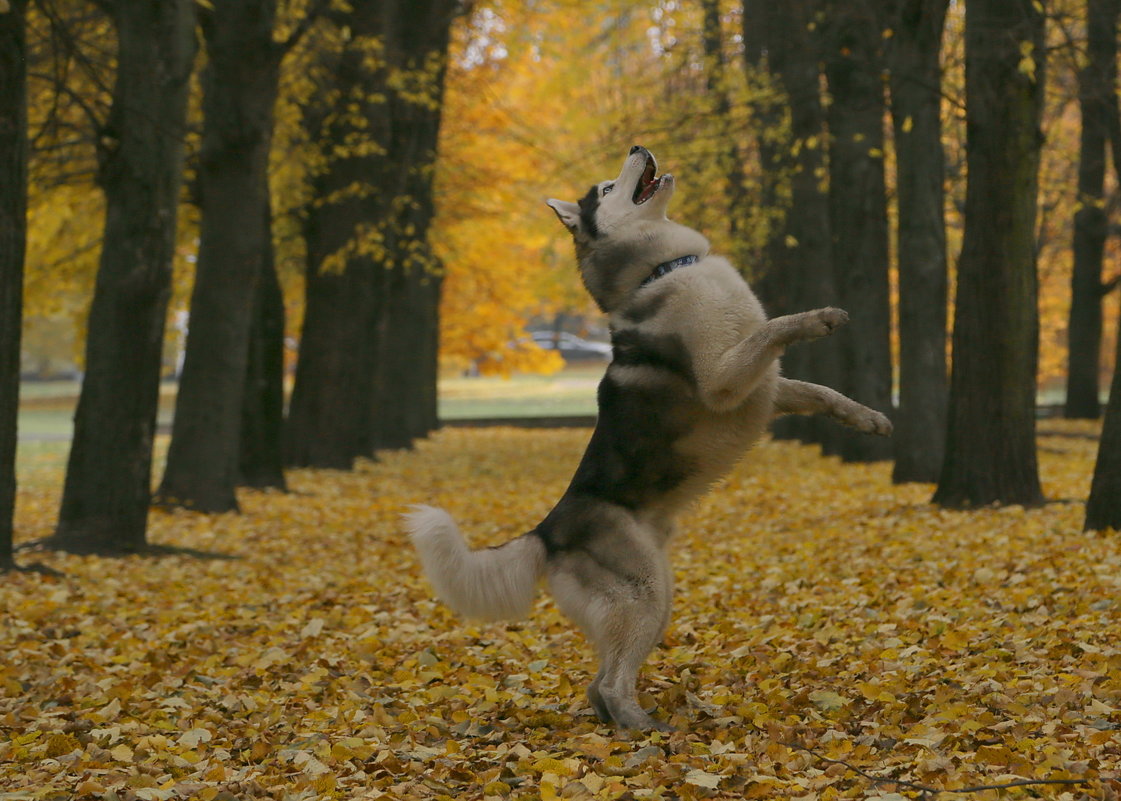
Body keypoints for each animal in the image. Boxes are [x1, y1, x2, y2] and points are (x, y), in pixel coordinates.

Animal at [408, 145, 887, 734]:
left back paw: (621, 721)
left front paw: (868, 419)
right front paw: (820, 318)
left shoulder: (767, 390)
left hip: (655, 600)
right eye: (608, 186)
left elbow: (822, 393)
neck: (664, 269)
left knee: (599, 679)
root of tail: (547, 531)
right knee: (612, 682)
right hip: (643, 594)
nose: (639, 148)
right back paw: (647, 732)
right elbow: (773, 328)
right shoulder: (726, 378)